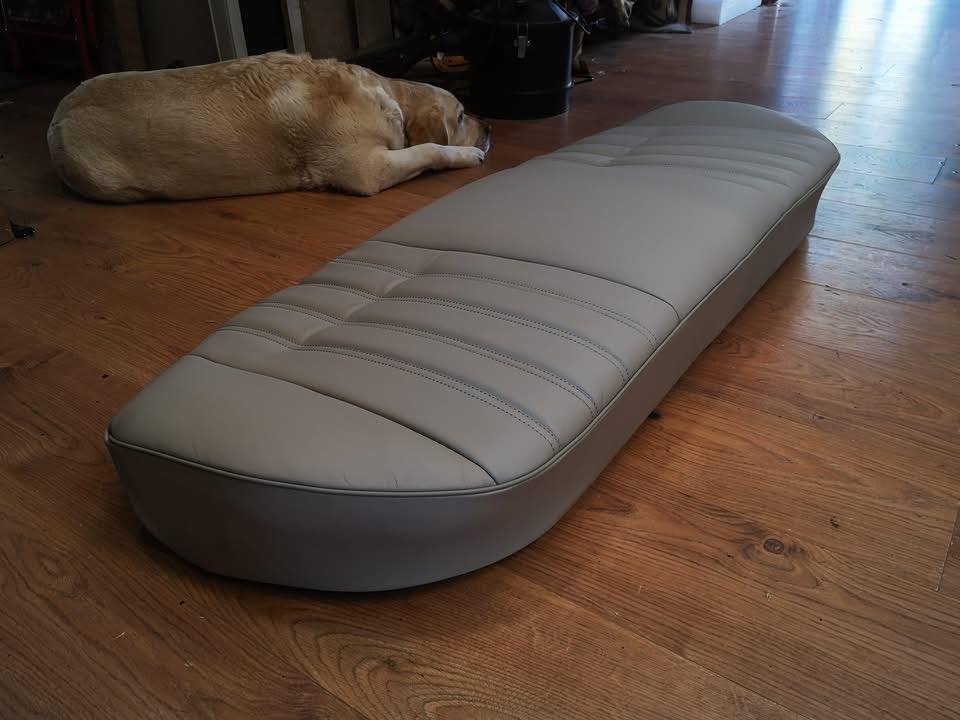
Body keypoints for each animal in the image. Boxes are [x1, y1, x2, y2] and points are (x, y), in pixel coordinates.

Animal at [47, 52, 491, 202]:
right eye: (461, 115)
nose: (489, 128)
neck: (385, 96)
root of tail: (56, 115)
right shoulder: (365, 169)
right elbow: (429, 148)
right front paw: (468, 153)